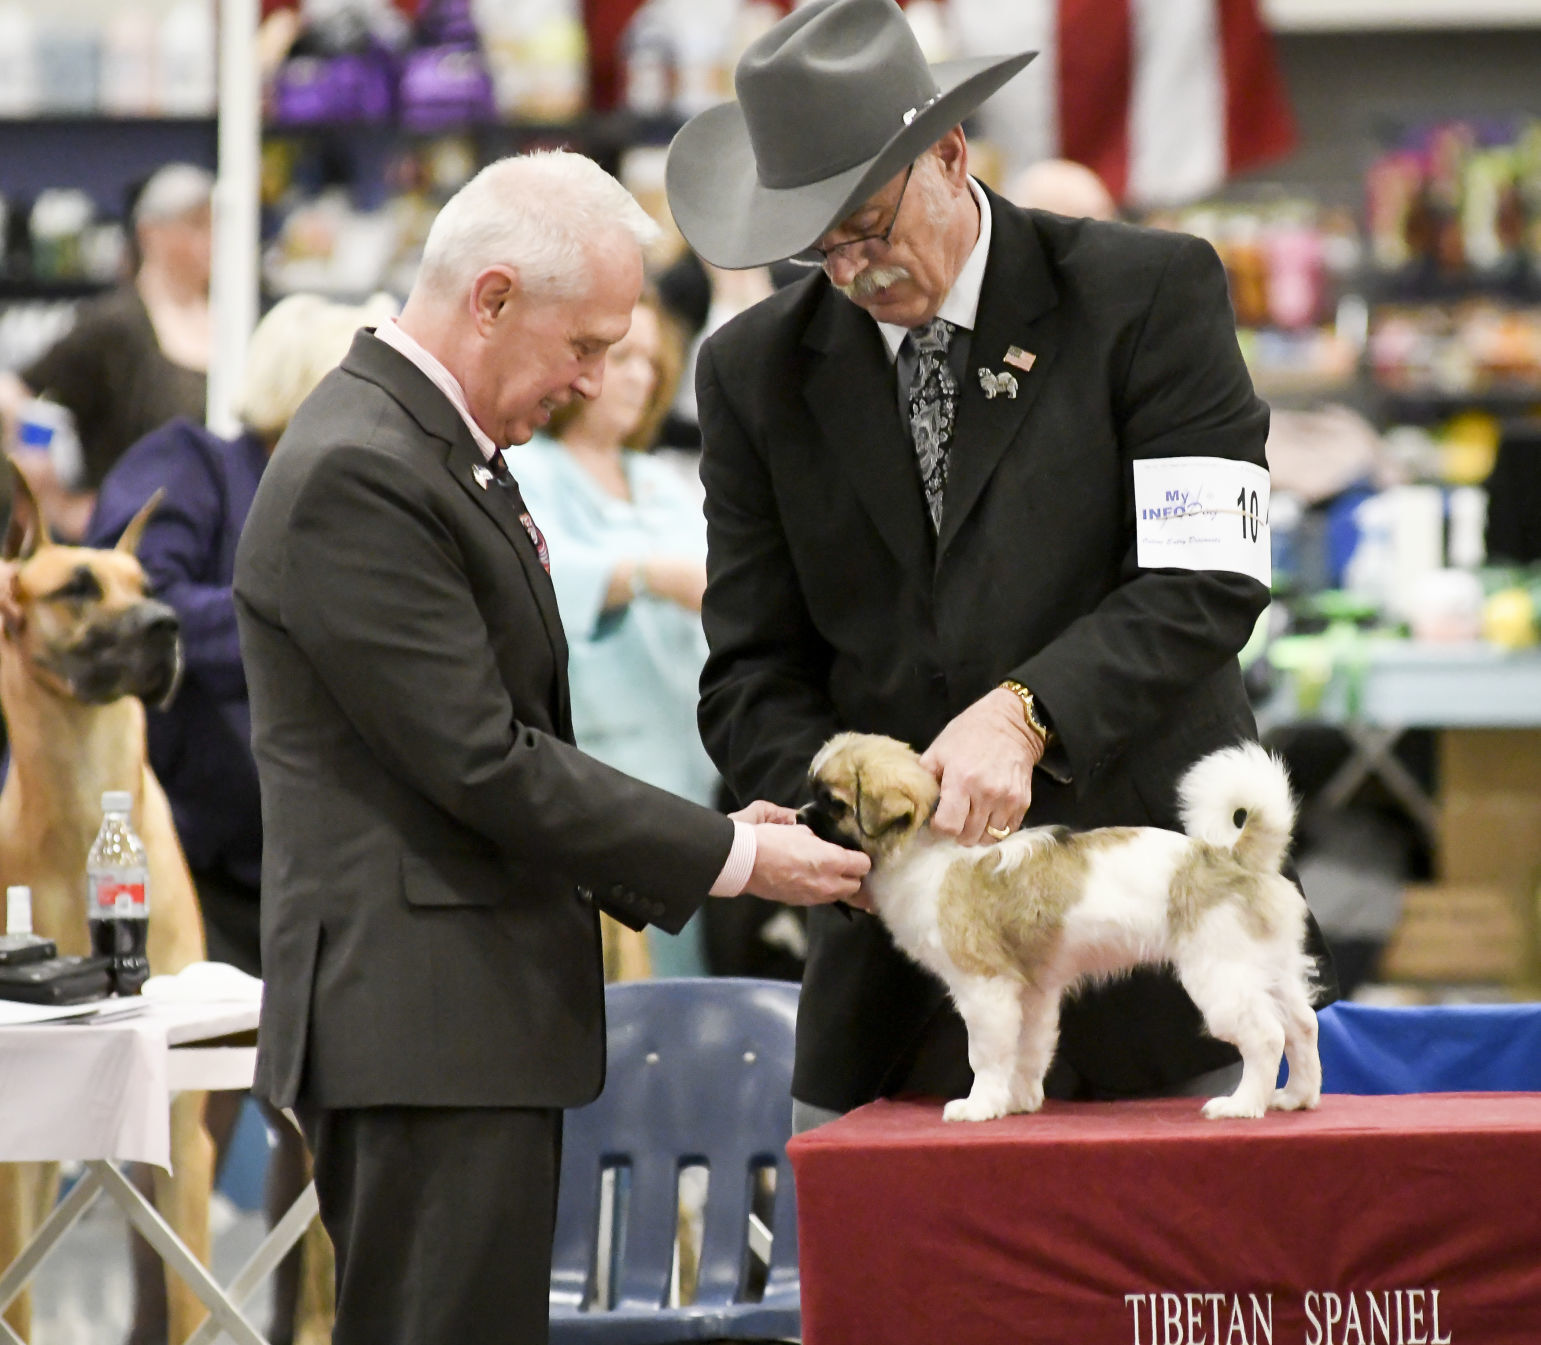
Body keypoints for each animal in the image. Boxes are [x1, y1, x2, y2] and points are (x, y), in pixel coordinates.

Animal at [801, 730, 1319, 1115]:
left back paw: (1242, 1106)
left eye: (834, 804)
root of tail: (1235, 857)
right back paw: (1297, 1097)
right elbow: (1028, 1052)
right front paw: (1018, 1102)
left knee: (1266, 1037)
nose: (799, 816)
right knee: (1303, 1025)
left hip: (1221, 978)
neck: (926, 849)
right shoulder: (1033, 993)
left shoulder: (985, 989)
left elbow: (986, 1055)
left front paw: (979, 1107)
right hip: (1271, 969)